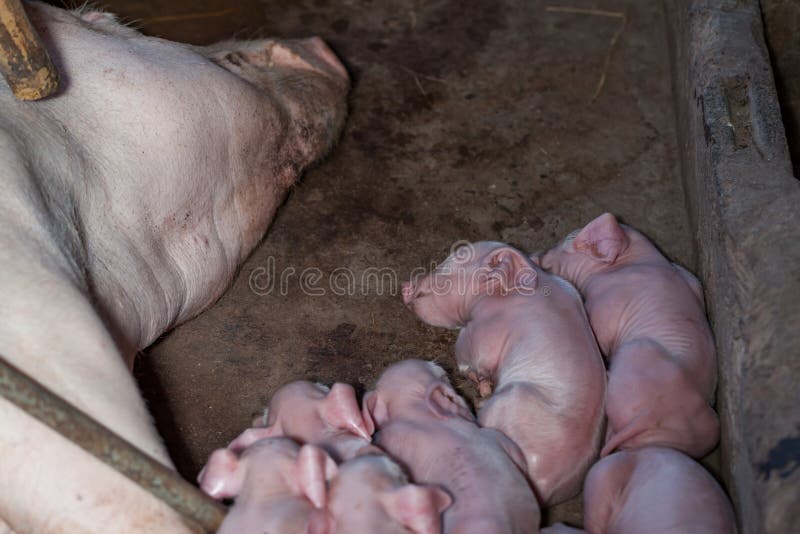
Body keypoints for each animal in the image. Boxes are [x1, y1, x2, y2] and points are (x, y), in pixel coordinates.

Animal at [404, 243, 604, 506]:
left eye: (450, 263)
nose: (406, 285)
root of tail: (540, 485)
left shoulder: (481, 334)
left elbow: (469, 356)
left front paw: (476, 378)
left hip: (509, 400)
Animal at [544, 216, 720, 458]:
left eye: (567, 241)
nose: (539, 254)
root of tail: (651, 414)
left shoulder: (605, 306)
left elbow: (599, 334)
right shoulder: (691, 279)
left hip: (635, 349)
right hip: (699, 433)